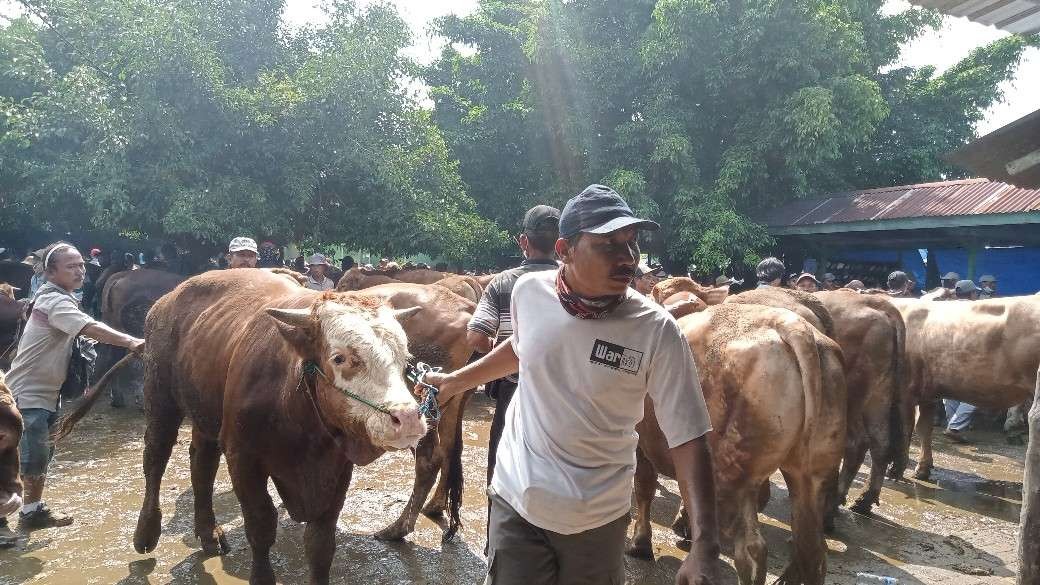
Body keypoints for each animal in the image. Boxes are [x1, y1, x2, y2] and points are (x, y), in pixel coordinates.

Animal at [125, 270, 430, 582]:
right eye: (340, 358)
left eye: (405, 358)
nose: (407, 418)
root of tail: (167, 299)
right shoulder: (242, 459)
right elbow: (261, 526)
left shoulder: (337, 468)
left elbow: (320, 543)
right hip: (160, 401)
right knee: (155, 460)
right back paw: (146, 532)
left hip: (204, 414)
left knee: (202, 463)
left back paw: (208, 531)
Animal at [624, 306, 844, 582]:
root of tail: (794, 327)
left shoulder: (642, 444)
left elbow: (644, 488)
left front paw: (640, 543)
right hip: (811, 475)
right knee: (814, 551)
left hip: (733, 476)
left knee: (751, 549)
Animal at [886, 295, 1040, 478]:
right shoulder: (927, 393)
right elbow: (923, 428)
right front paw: (923, 468)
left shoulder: (906, 390)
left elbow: (905, 429)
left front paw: (895, 469)